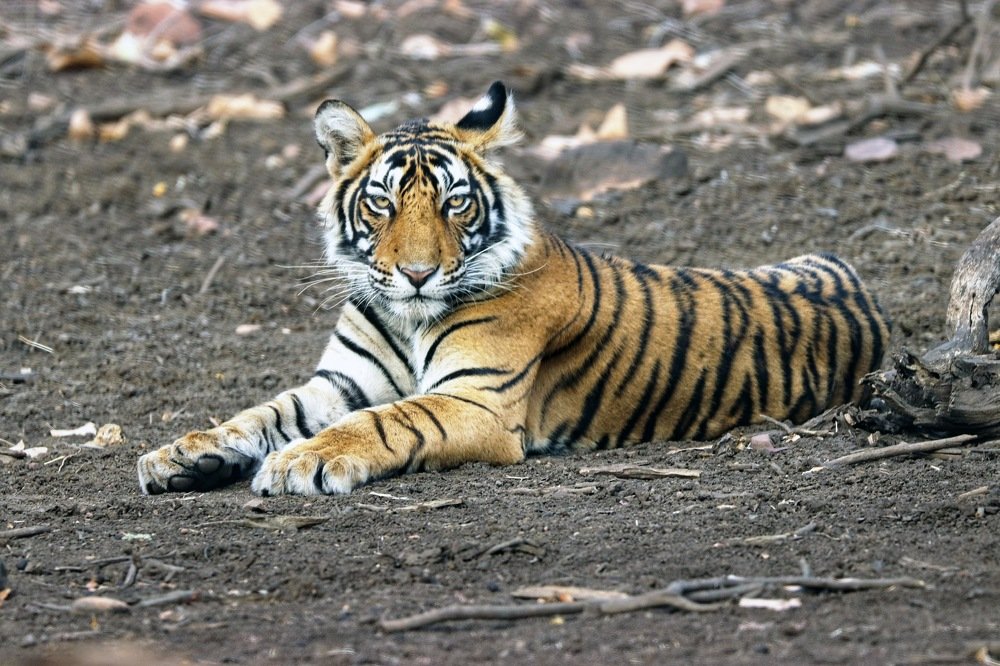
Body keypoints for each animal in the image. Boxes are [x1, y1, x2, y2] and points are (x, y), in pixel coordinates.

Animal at [137, 81, 890, 496]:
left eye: (453, 204)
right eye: (383, 204)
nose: (417, 273)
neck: (406, 316)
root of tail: (864, 293)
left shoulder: (475, 400)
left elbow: (382, 421)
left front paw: (301, 462)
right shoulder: (339, 383)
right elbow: (259, 413)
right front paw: (179, 454)